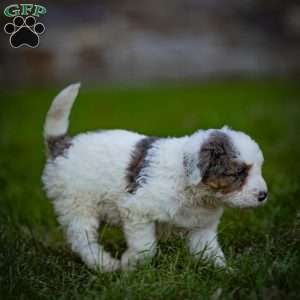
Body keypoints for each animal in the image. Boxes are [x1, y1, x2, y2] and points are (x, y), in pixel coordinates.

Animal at [41, 84, 268, 272]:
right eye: (237, 173)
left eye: (259, 168)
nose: (263, 195)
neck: (190, 187)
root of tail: (64, 146)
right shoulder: (138, 211)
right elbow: (146, 247)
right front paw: (130, 263)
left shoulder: (201, 228)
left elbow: (211, 254)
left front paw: (226, 273)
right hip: (77, 204)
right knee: (82, 238)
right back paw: (104, 264)